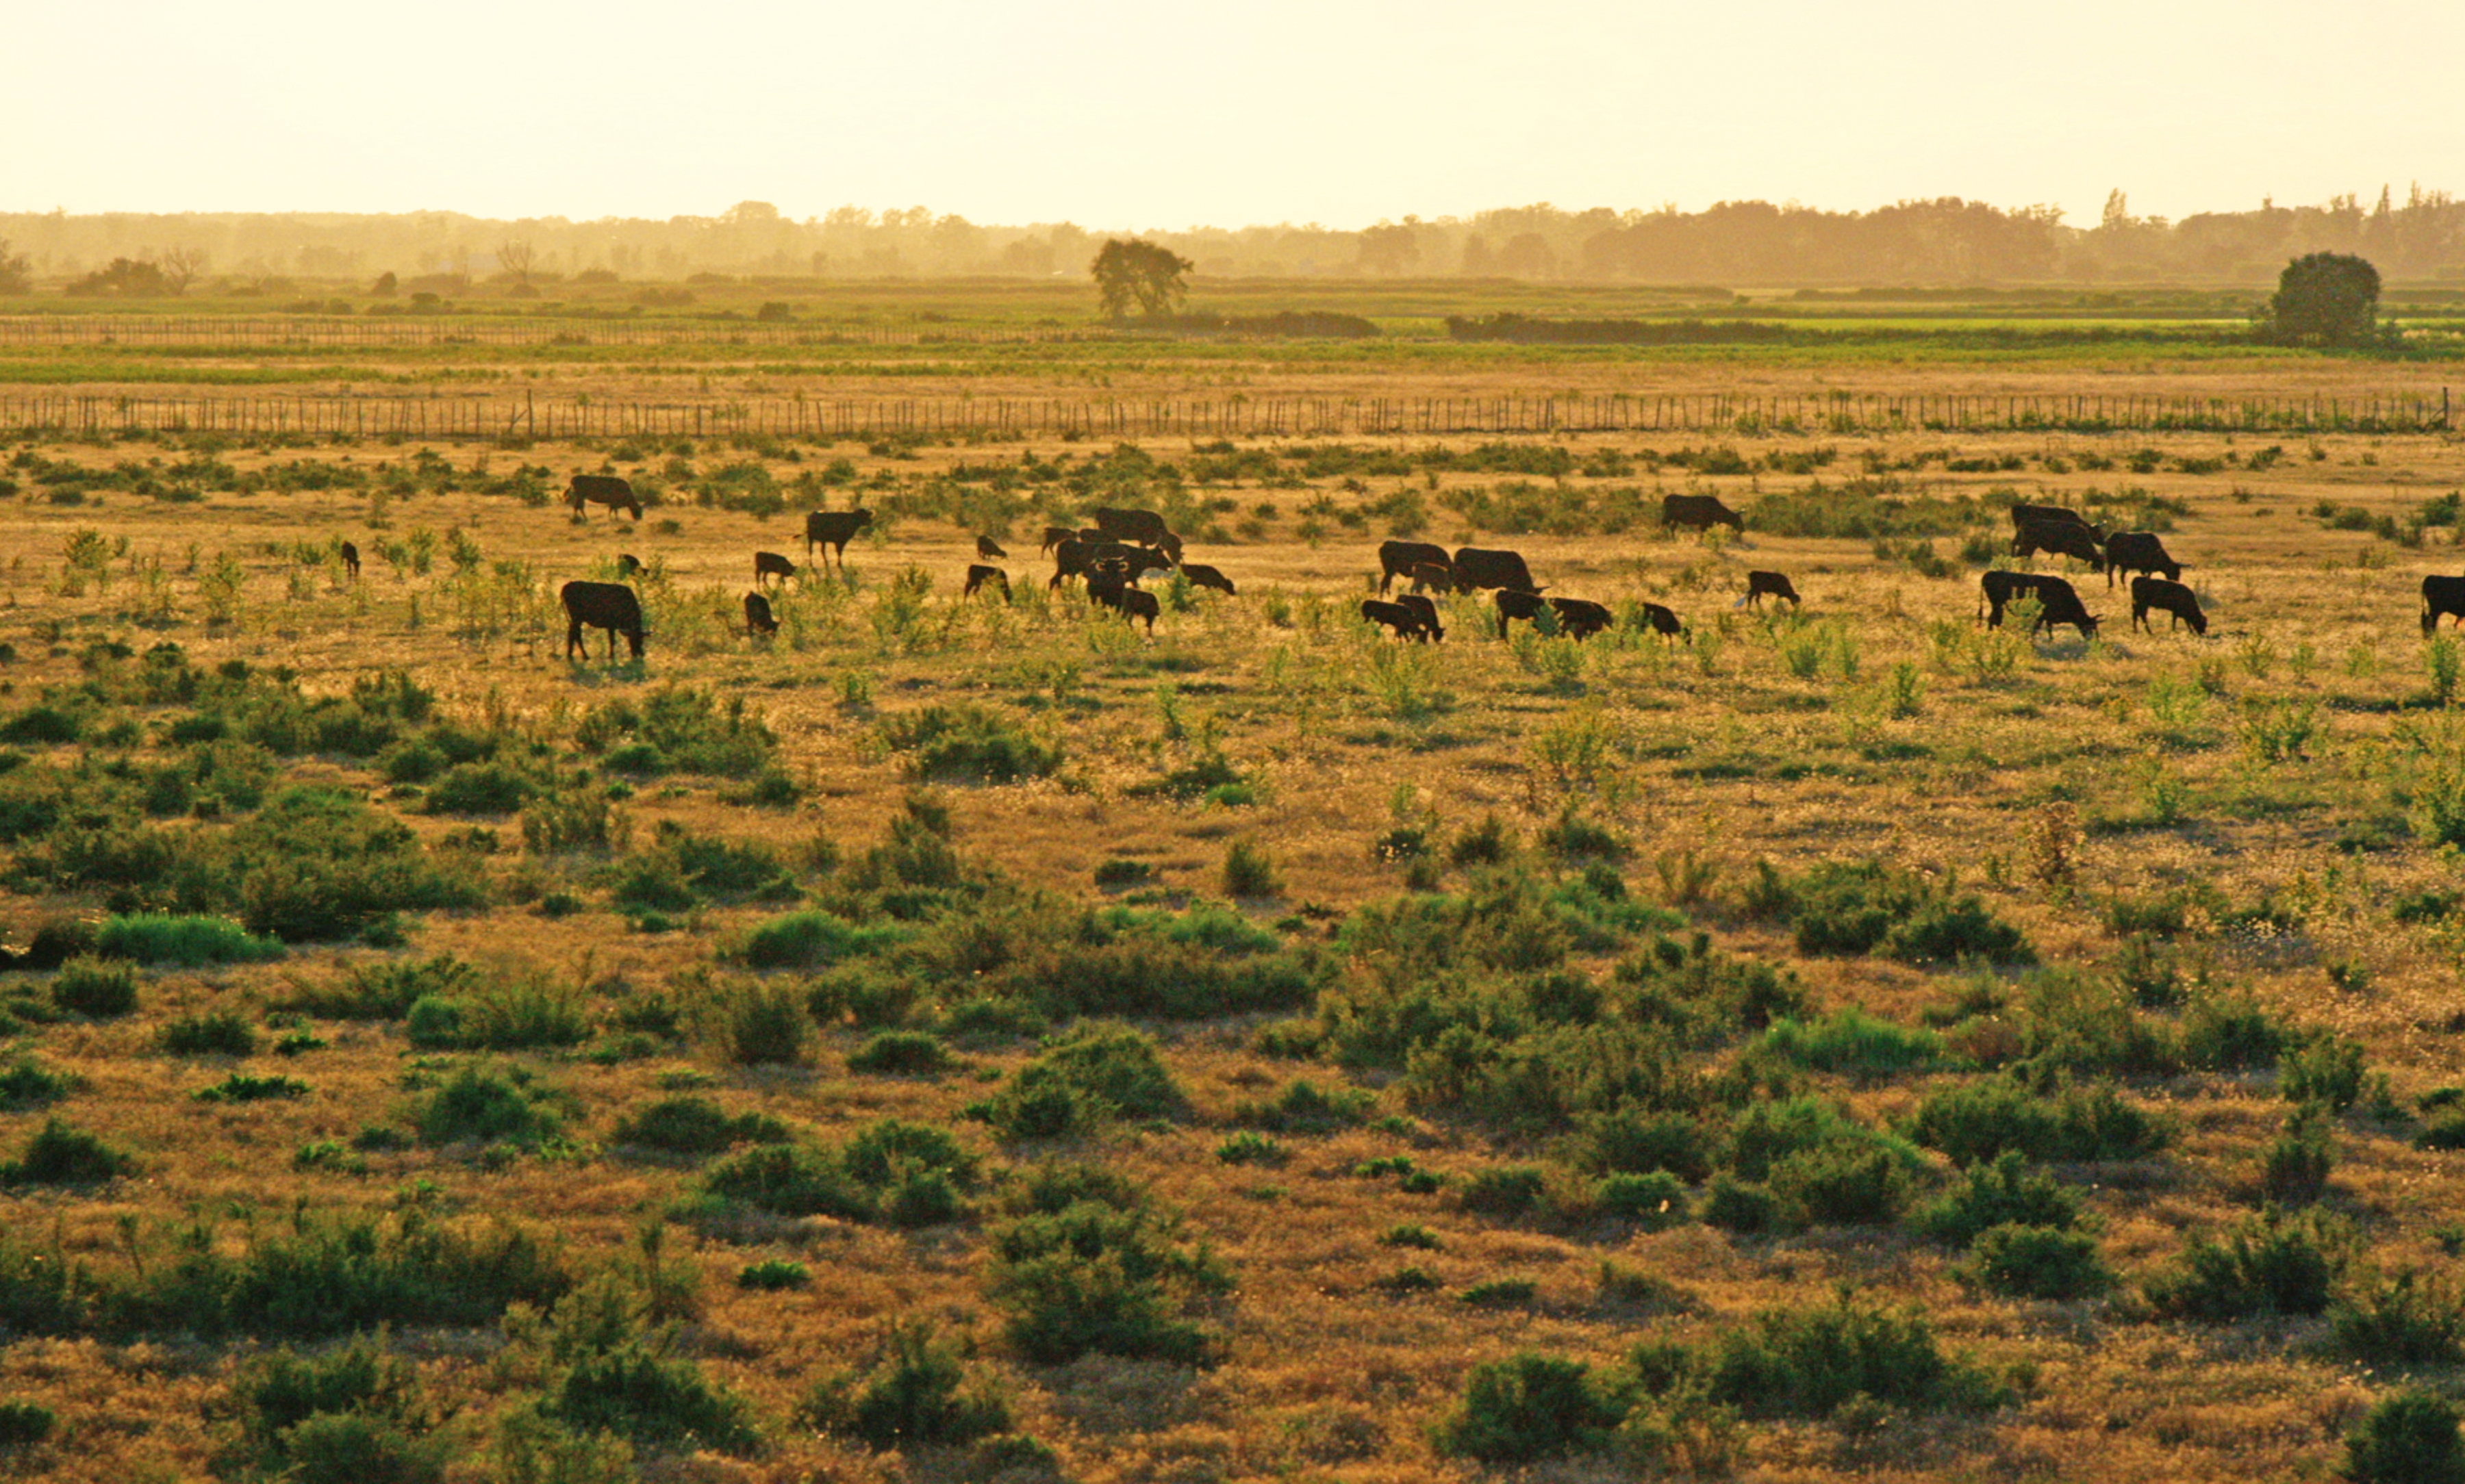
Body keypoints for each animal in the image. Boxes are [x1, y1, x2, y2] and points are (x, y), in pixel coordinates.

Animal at [1982, 567, 2100, 636]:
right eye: (2091, 627)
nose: (2093, 640)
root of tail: (1990, 574)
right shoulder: (2042, 617)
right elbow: (2037, 630)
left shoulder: (2048, 618)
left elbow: (2049, 631)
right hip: (1998, 606)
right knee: (1994, 620)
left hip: (1996, 607)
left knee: (1993, 620)